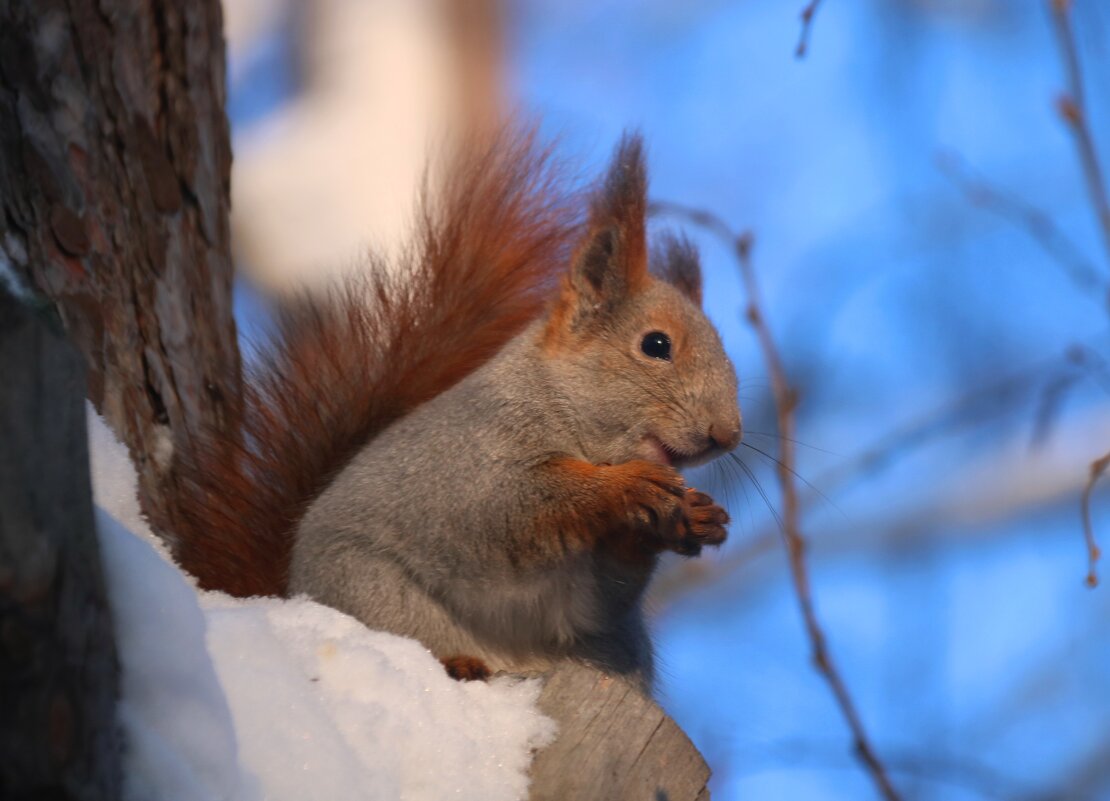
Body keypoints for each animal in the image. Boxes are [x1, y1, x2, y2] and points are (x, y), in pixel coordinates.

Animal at [177, 132, 741, 692]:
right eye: (656, 345)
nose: (728, 434)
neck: (564, 414)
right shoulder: (464, 468)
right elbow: (509, 505)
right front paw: (624, 488)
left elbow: (599, 595)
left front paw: (691, 518)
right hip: (366, 588)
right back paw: (458, 663)